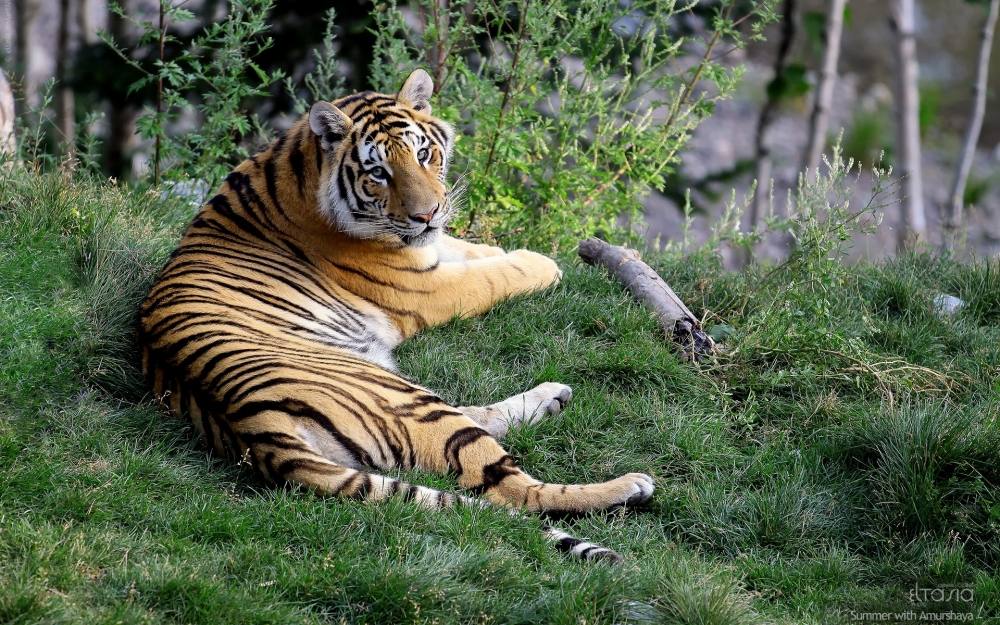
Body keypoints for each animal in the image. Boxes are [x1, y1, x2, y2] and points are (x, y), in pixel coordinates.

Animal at [141, 68, 656, 560]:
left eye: (424, 154)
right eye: (379, 173)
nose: (426, 215)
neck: (299, 166)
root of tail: (253, 430)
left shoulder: (428, 250)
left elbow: (467, 249)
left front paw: (496, 248)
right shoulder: (424, 286)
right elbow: (491, 276)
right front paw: (542, 264)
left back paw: (553, 397)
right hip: (406, 399)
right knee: (512, 490)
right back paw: (629, 486)